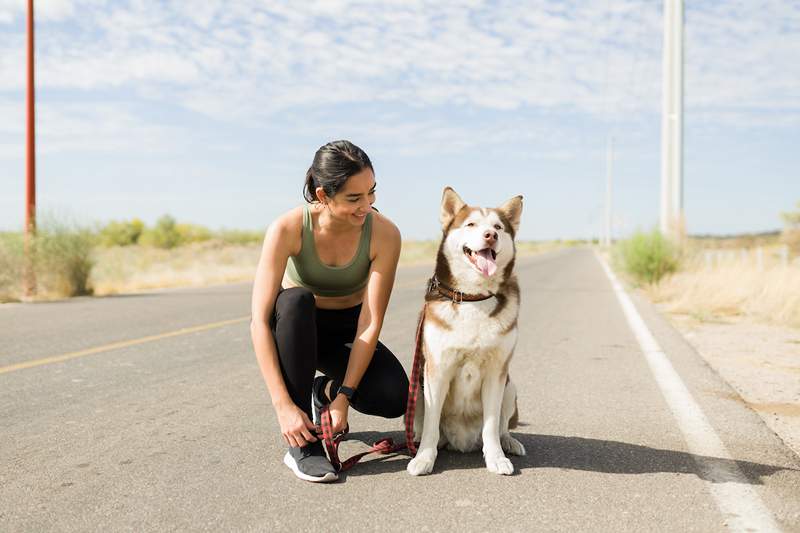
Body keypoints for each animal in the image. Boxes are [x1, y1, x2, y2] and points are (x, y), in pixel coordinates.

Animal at [406, 185, 524, 476]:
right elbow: (431, 426)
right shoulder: (436, 370)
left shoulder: (496, 372)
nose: (491, 236)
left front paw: (495, 458)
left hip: (510, 386)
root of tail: (461, 442)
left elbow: (491, 426)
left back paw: (509, 442)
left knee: (502, 428)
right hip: (416, 387)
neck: (473, 298)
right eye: (470, 224)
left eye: (498, 226)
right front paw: (424, 458)